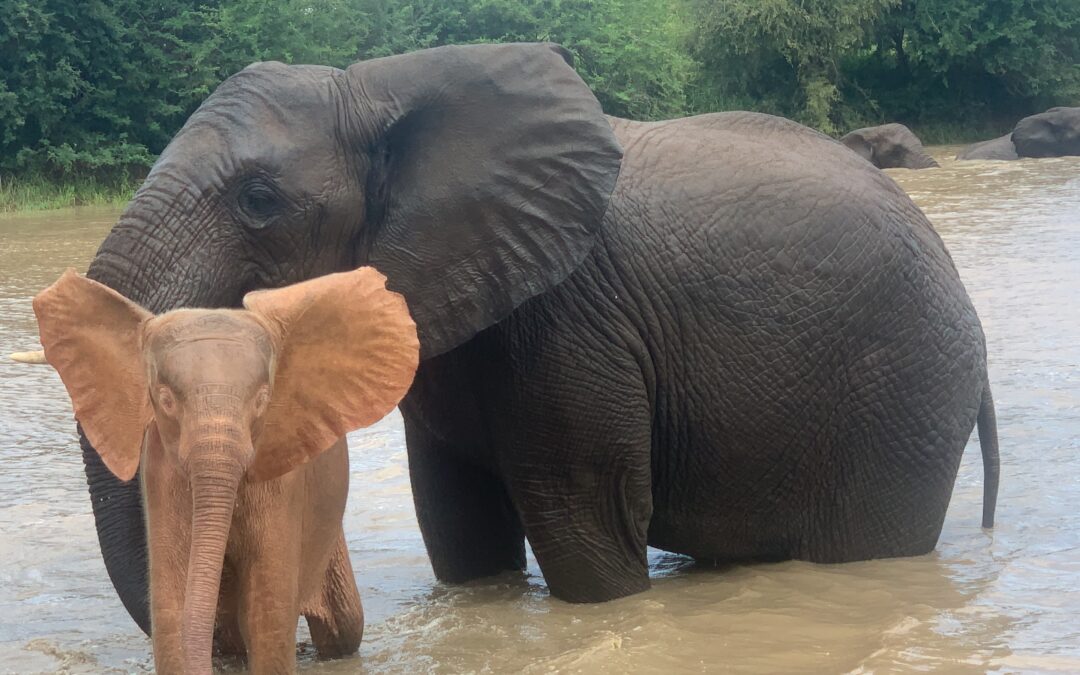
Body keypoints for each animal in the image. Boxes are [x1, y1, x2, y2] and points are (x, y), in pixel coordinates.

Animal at [18, 267, 418, 673]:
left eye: (262, 400)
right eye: (165, 399)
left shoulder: (279, 482)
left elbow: (266, 613)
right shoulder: (162, 472)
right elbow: (173, 608)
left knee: (343, 629)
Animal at [66, 42, 999, 630]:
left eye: (259, 199)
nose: (303, 630)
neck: (373, 88)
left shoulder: (573, 319)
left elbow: (584, 525)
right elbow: (457, 522)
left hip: (901, 397)